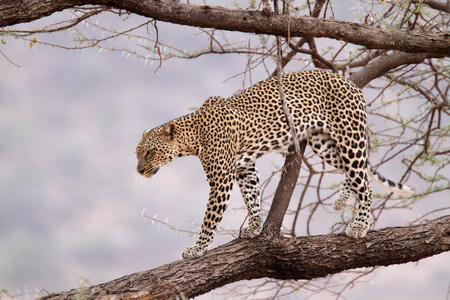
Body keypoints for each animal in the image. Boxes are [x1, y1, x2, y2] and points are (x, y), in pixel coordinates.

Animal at [135, 69, 414, 258]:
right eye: (138, 153)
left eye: (149, 152)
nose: (138, 170)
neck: (192, 138)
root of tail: (350, 82)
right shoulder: (244, 167)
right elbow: (252, 196)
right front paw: (255, 227)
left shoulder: (221, 180)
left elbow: (210, 219)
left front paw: (197, 248)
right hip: (323, 144)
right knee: (360, 174)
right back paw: (342, 199)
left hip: (349, 138)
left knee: (364, 183)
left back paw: (359, 225)